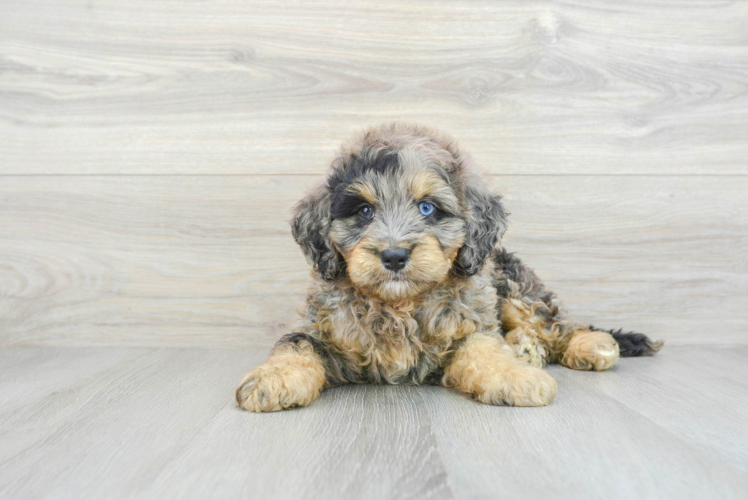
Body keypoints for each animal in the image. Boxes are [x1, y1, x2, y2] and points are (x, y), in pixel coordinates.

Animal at [234, 123, 660, 412]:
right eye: (364, 211)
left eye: (427, 208)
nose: (394, 256)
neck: (400, 305)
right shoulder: (321, 327)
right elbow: (295, 345)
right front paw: (271, 379)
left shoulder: (471, 324)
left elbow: (485, 350)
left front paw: (516, 377)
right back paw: (528, 349)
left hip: (513, 285)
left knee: (556, 324)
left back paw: (586, 345)